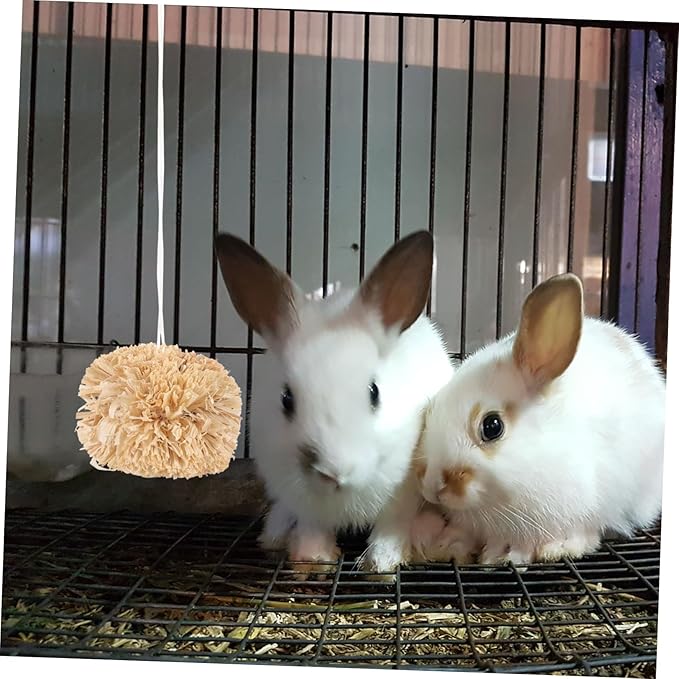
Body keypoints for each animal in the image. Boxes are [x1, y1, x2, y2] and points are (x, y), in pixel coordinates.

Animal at [214, 230, 455, 576]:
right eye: (286, 399)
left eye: (374, 392)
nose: (333, 470)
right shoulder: (302, 500)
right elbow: (312, 527)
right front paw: (312, 559)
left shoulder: (403, 494)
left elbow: (390, 527)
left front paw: (381, 563)